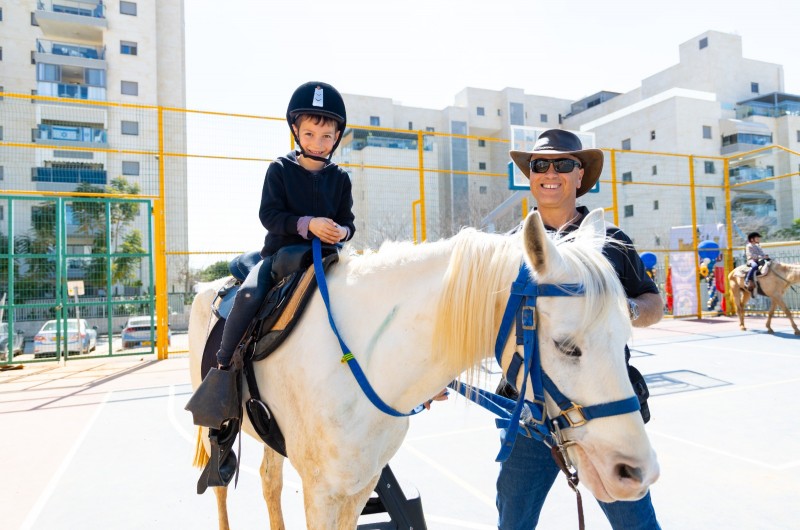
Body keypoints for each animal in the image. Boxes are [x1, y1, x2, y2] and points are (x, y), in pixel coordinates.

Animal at [191, 209, 660, 528]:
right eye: (566, 346)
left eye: (626, 334)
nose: (639, 473)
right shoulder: (322, 491)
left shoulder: (359, 485)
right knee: (221, 485)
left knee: (269, 481)